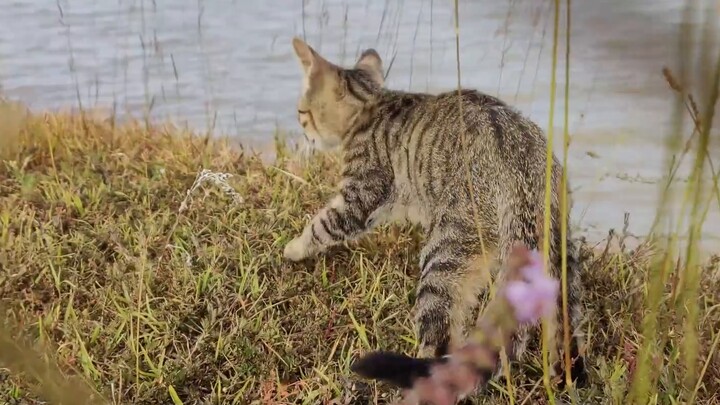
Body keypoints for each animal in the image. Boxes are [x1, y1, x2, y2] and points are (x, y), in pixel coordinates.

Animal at [282, 35, 584, 386]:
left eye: (302, 112)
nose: (303, 132)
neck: (371, 104)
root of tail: (518, 163)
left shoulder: (360, 194)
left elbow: (322, 224)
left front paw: (294, 248)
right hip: (560, 258)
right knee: (565, 328)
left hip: (444, 255)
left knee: (440, 340)